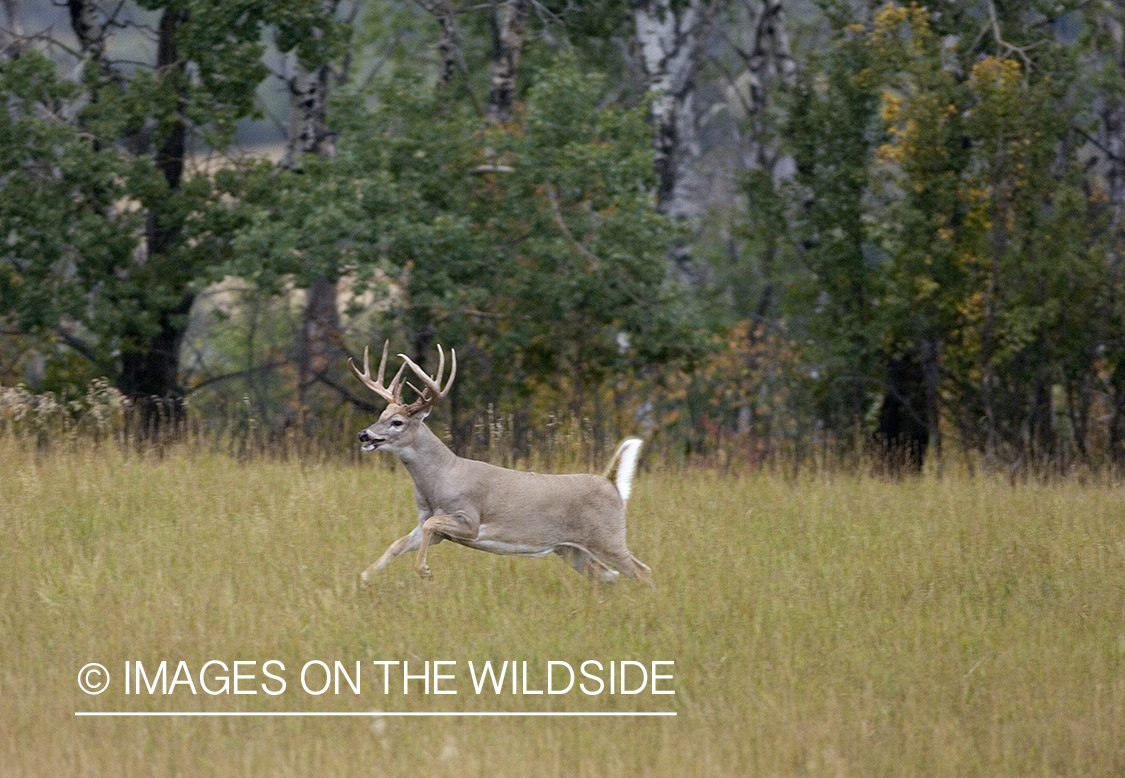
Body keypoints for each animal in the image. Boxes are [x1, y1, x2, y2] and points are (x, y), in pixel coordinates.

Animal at [351, 341, 652, 584]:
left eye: (397, 422)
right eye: (382, 413)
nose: (364, 434)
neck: (440, 479)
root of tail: (612, 483)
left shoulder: (469, 519)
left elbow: (430, 526)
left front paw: (423, 570)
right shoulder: (428, 521)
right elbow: (397, 543)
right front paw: (364, 579)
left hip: (608, 537)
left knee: (642, 571)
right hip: (570, 549)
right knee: (609, 576)